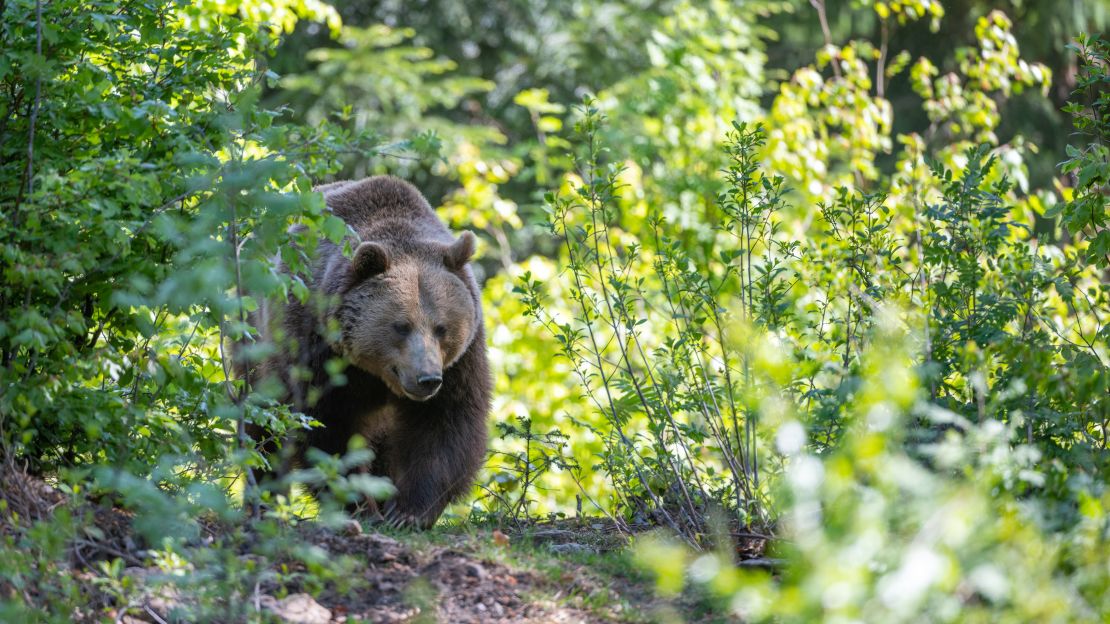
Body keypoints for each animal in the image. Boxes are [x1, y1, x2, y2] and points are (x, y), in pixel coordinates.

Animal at [251, 177, 495, 526]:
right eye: (401, 326)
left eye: (442, 327)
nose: (427, 379)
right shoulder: (314, 342)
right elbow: (326, 424)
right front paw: (361, 505)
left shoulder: (462, 360)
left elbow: (446, 421)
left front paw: (407, 511)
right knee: (263, 421)